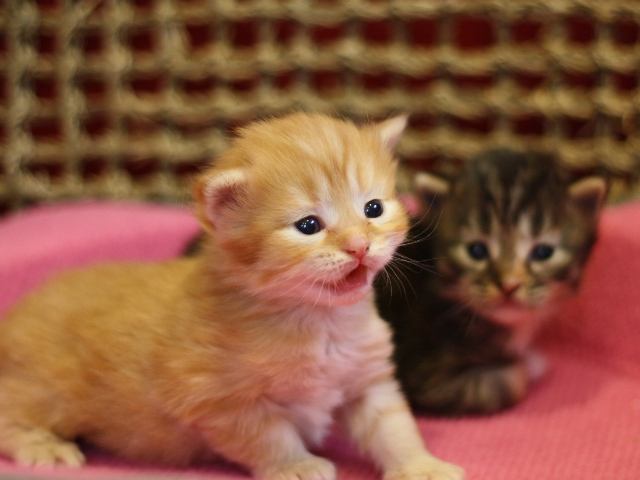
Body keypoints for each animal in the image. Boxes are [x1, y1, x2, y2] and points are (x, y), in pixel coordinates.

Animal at [0, 114, 464, 480]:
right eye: (309, 226)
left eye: (373, 209)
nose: (359, 247)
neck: (316, 320)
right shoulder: (219, 400)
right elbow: (269, 436)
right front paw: (296, 465)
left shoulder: (368, 379)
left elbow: (394, 427)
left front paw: (421, 465)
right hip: (44, 391)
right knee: (9, 418)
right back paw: (44, 446)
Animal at [378, 150, 608, 416]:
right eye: (476, 251)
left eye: (543, 253)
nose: (509, 285)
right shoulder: (427, 377)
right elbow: (512, 381)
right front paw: (529, 364)